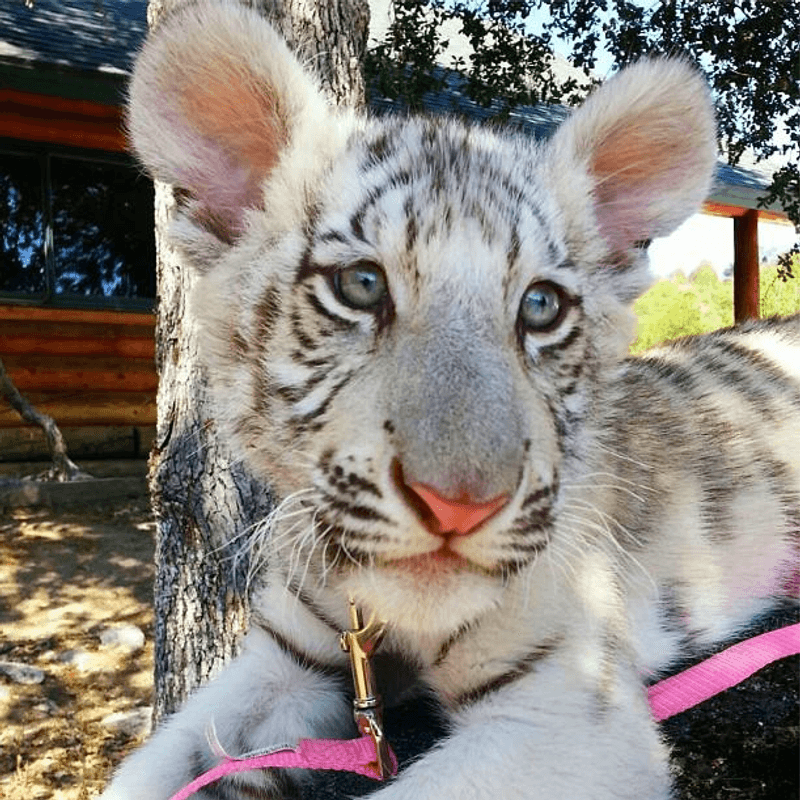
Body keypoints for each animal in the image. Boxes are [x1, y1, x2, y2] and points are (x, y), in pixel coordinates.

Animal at [101, 2, 800, 798]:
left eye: (540, 306)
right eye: (361, 285)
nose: (460, 506)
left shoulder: (571, 710)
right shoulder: (286, 660)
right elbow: (151, 767)